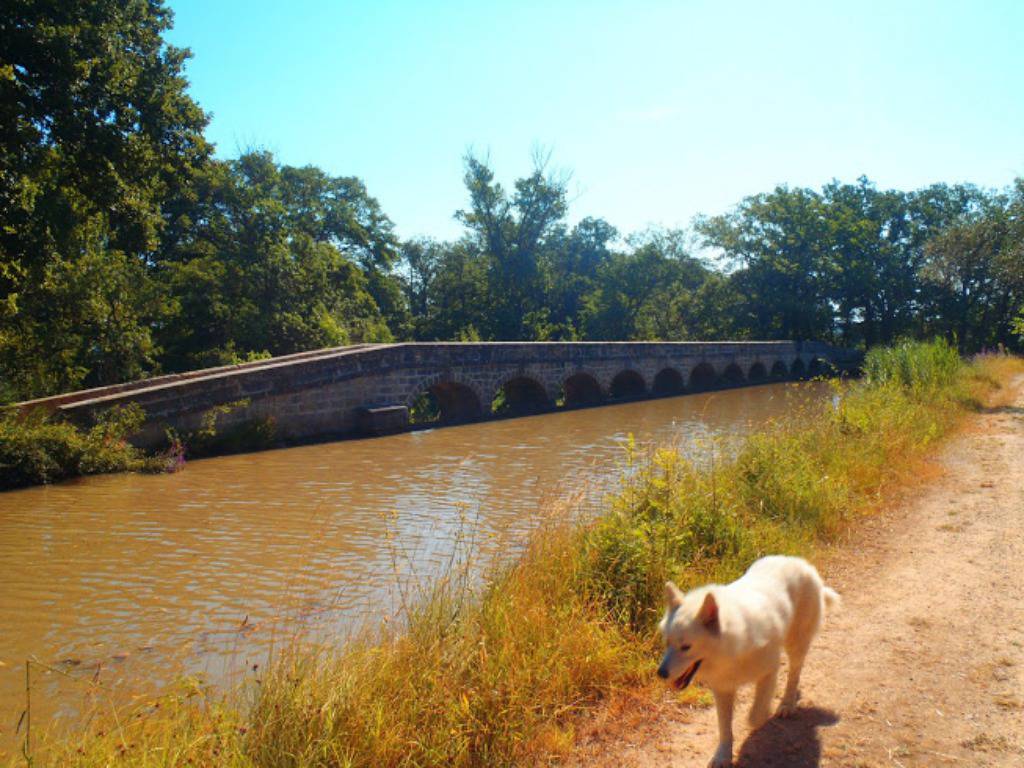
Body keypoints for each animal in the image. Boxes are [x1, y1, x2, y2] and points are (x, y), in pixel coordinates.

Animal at [655, 561, 839, 768]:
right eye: (667, 643)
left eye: (686, 647)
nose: (660, 673)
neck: (731, 647)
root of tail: (801, 564)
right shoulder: (723, 689)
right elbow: (724, 728)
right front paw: (723, 756)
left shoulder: (769, 670)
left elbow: (755, 715)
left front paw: (761, 716)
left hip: (796, 644)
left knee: (794, 674)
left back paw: (786, 704)